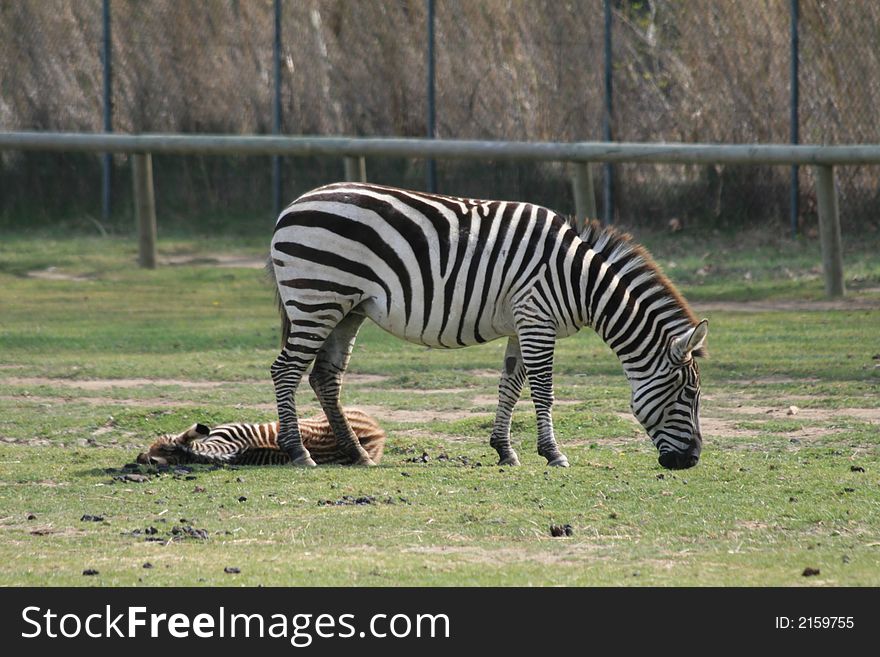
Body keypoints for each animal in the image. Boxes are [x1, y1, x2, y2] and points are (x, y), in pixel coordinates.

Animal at [268, 184, 708, 468]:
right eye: (689, 393)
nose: (691, 461)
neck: (580, 281)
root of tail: (293, 204)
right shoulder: (537, 318)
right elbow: (543, 391)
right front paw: (553, 454)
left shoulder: (522, 323)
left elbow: (511, 387)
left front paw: (504, 450)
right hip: (316, 298)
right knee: (285, 370)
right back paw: (298, 452)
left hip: (347, 308)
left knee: (324, 377)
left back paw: (357, 454)